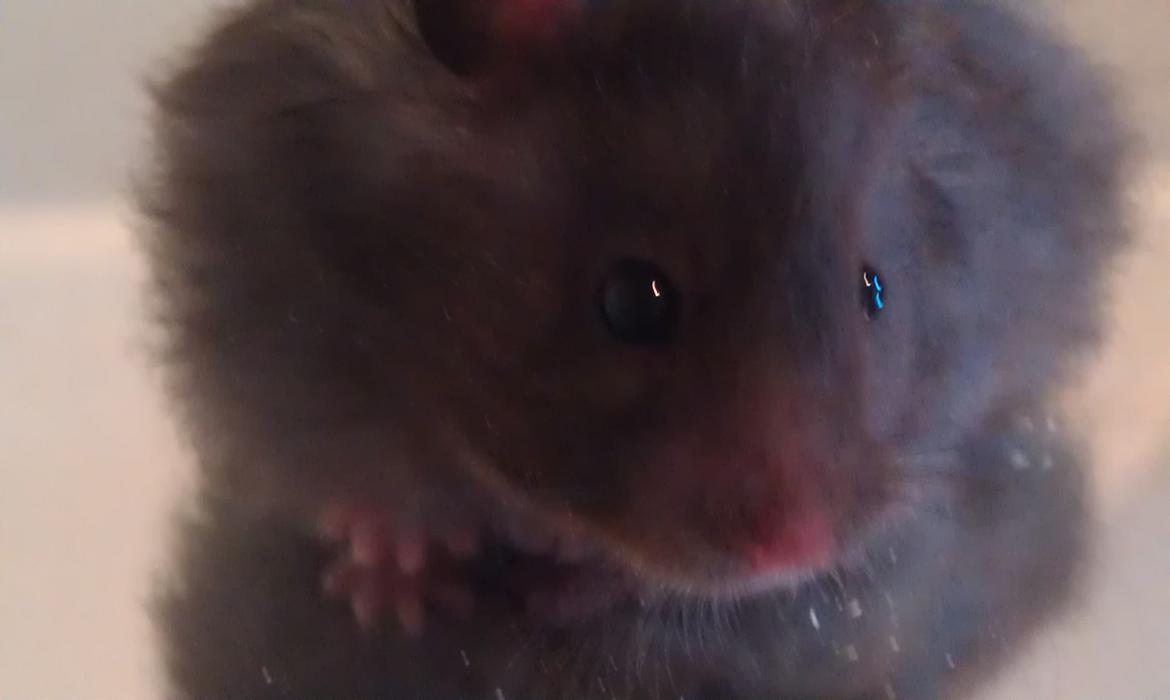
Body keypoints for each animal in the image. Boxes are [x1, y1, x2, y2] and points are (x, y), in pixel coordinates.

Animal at [142, 0, 1128, 698]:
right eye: (629, 300)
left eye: (873, 290)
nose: (796, 549)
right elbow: (369, 486)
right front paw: (392, 592)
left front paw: (563, 591)